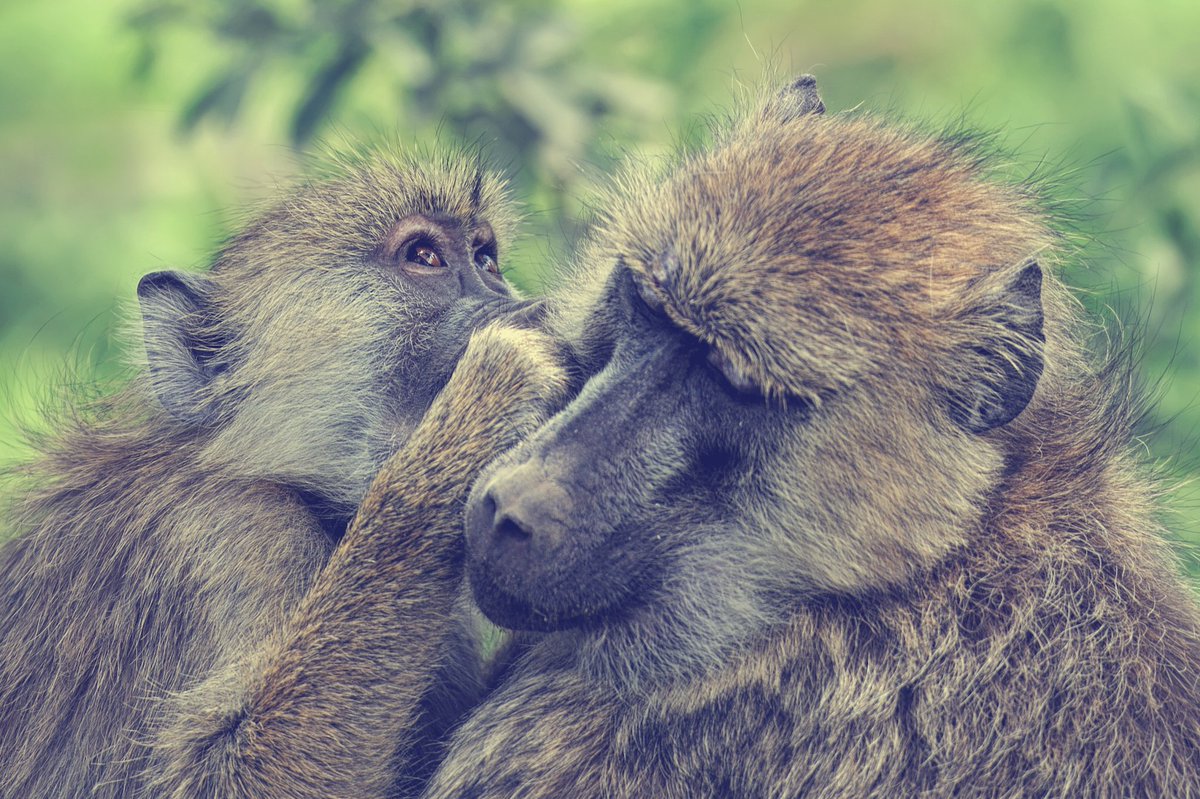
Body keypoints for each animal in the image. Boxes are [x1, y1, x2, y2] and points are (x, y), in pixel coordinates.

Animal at [0, 149, 568, 798]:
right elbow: (230, 775)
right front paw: (490, 390)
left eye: (486, 260)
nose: (515, 300)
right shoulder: (228, 539)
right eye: (424, 257)